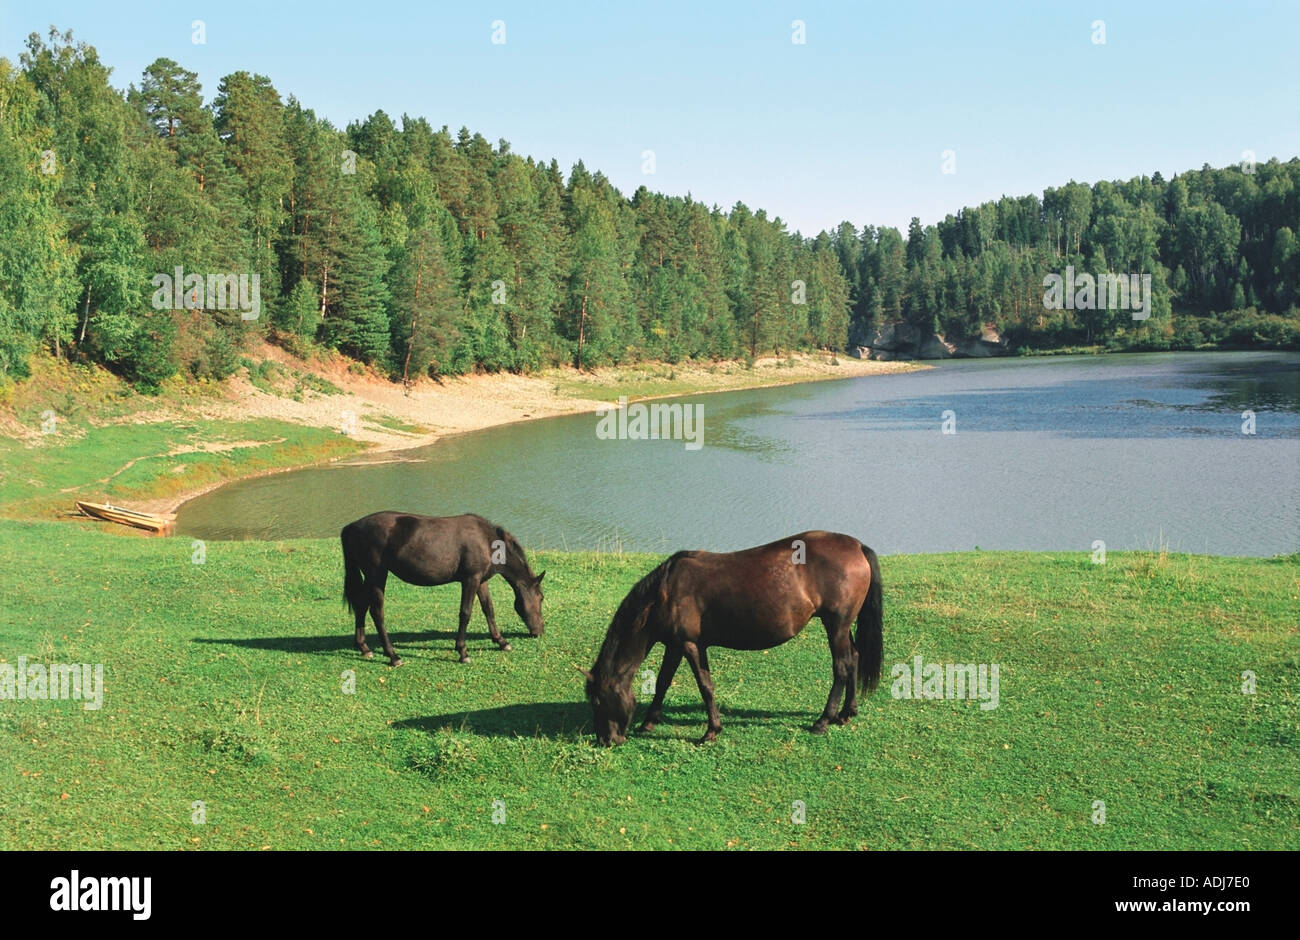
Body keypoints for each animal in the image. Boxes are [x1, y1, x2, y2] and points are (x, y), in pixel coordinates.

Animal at [340, 512, 543, 665]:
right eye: (541, 598)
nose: (540, 630)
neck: (486, 541)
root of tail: (351, 527)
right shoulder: (470, 580)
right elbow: (465, 613)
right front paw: (462, 652)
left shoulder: (480, 581)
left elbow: (488, 609)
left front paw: (501, 641)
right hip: (377, 575)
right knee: (377, 612)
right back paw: (393, 655)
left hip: (370, 578)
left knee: (361, 606)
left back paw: (364, 648)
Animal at [582, 533, 878, 748]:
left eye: (597, 702)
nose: (607, 740)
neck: (664, 593)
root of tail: (856, 546)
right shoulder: (675, 645)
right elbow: (664, 682)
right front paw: (649, 722)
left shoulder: (691, 646)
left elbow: (705, 686)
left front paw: (711, 731)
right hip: (841, 626)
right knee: (854, 658)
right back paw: (846, 713)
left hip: (836, 625)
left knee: (841, 667)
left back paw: (823, 720)